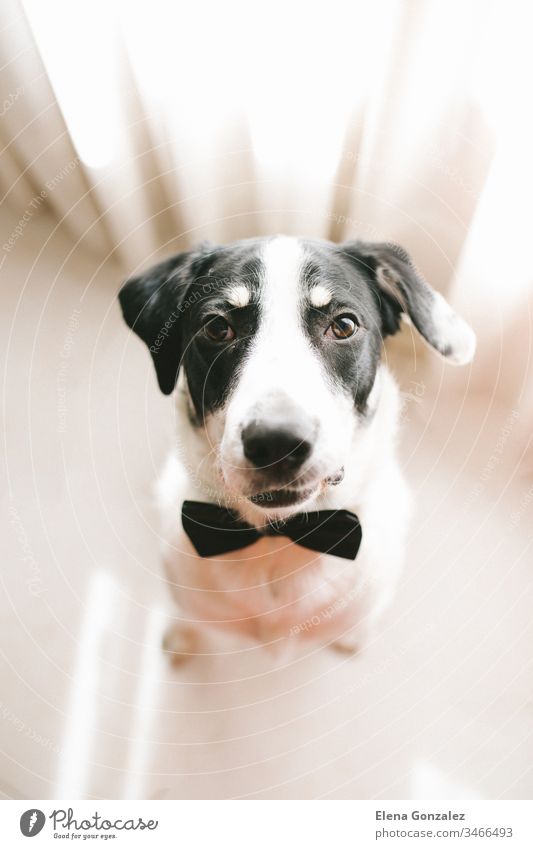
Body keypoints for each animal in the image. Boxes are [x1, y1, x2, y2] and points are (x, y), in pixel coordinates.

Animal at [119, 235, 474, 660]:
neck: (281, 536)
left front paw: (354, 637)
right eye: (218, 327)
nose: (277, 442)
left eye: (343, 325)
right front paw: (181, 633)